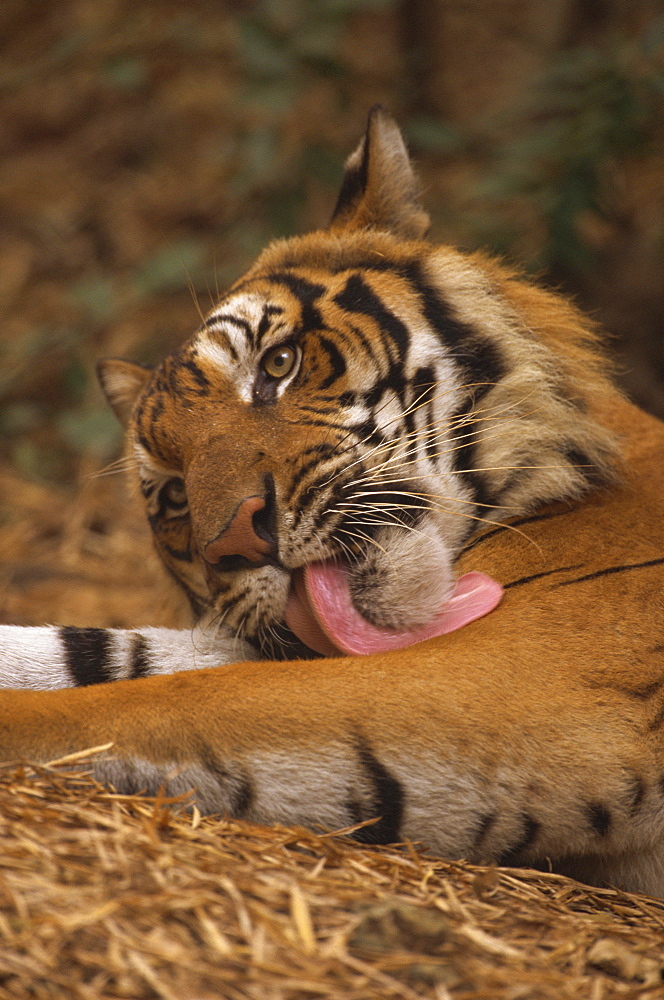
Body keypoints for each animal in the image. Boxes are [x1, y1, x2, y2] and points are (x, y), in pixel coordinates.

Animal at [1, 109, 664, 900]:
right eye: (173, 495)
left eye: (278, 365)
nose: (235, 542)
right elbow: (100, 653)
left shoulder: (518, 673)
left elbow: (143, 702)